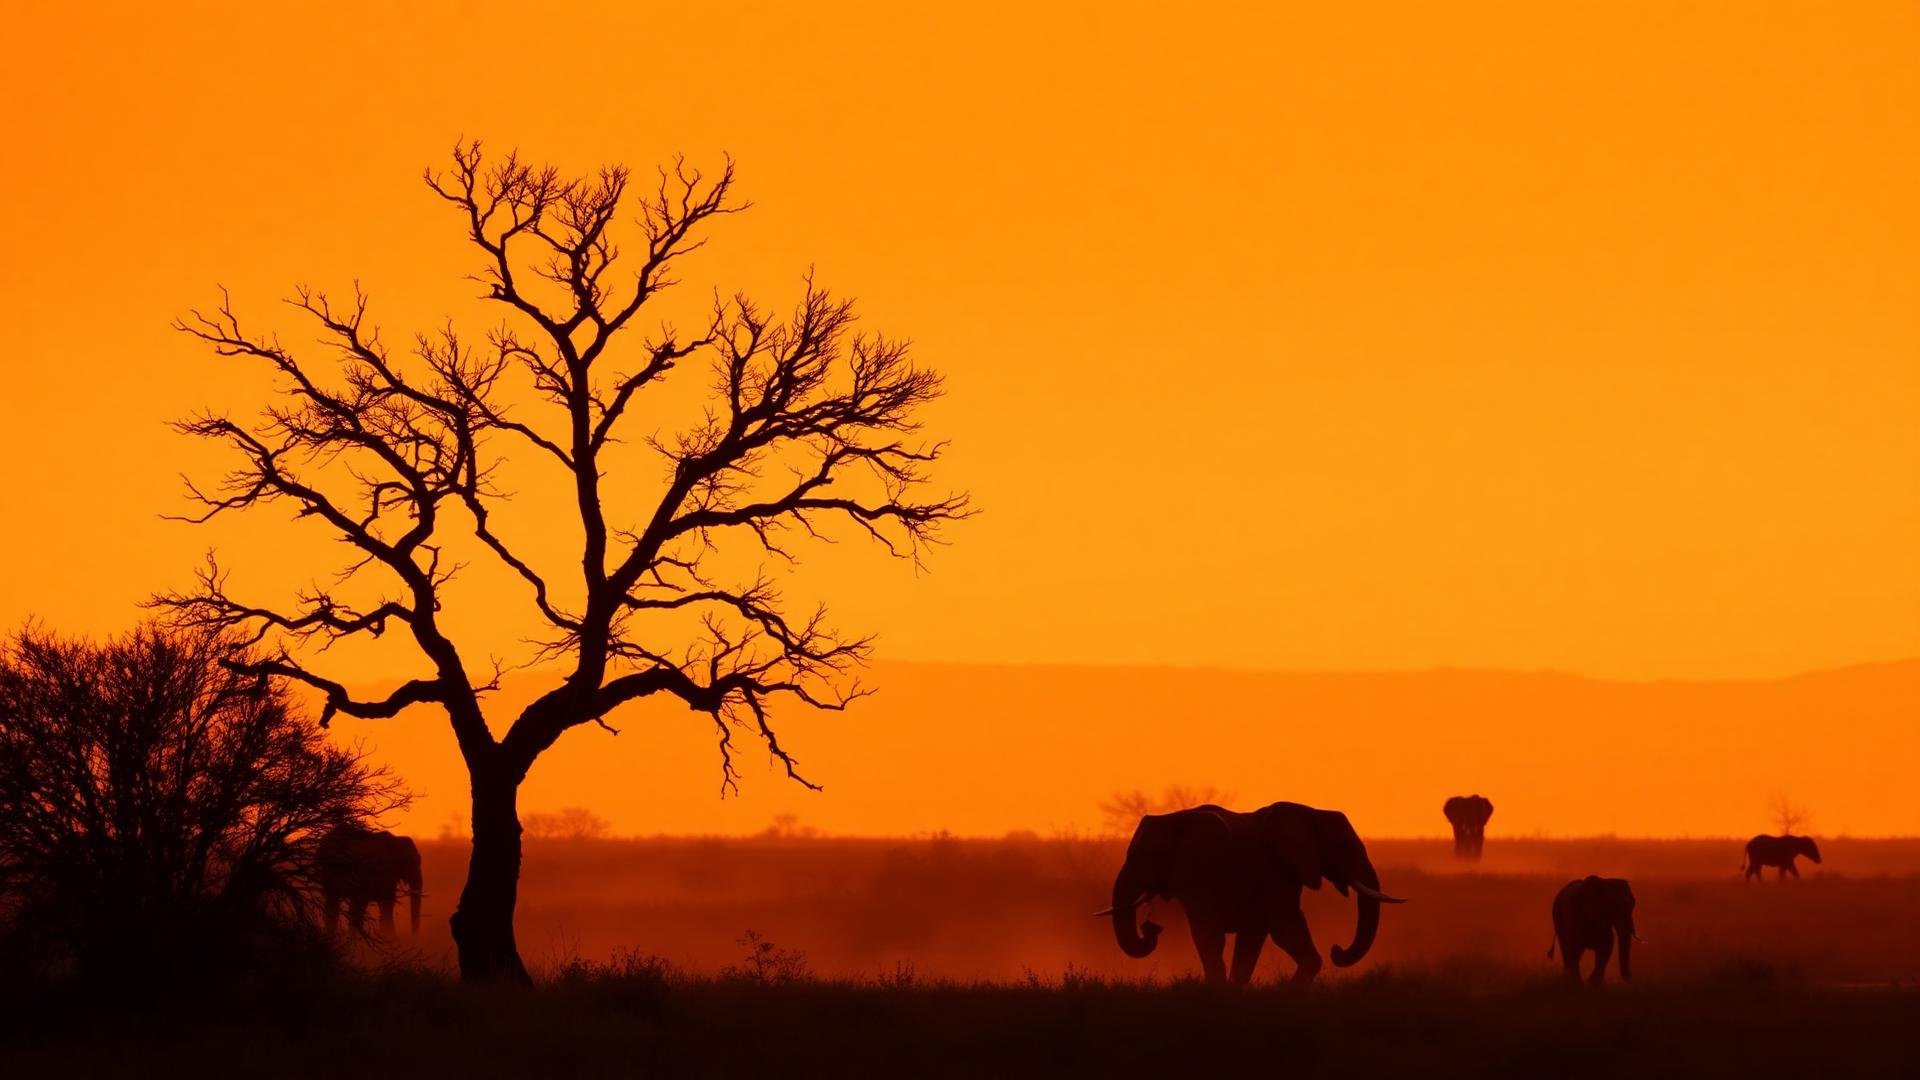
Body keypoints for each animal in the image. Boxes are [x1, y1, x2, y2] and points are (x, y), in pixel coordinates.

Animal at [1100, 801, 1406, 985]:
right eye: (1345, 847)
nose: (1151, 927)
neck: (1308, 812)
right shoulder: (1221, 872)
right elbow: (1277, 927)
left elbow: (1264, 931)